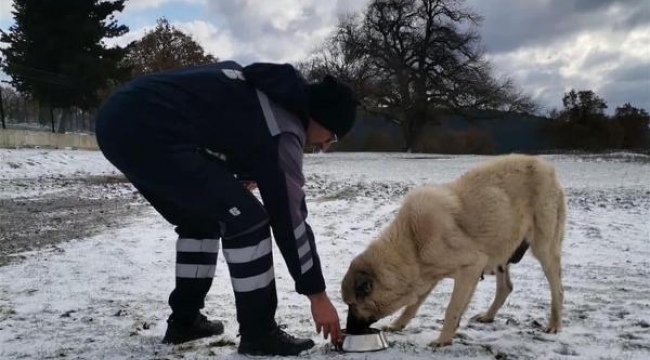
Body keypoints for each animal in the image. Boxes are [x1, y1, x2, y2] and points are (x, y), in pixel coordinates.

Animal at [342, 154, 564, 346]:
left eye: (351, 305)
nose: (348, 330)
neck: (412, 245)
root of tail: (547, 167)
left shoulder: (471, 266)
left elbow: (452, 309)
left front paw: (443, 340)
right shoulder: (431, 277)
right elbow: (413, 306)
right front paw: (399, 325)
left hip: (544, 249)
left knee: (558, 290)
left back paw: (554, 325)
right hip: (501, 248)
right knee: (506, 287)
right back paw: (488, 316)